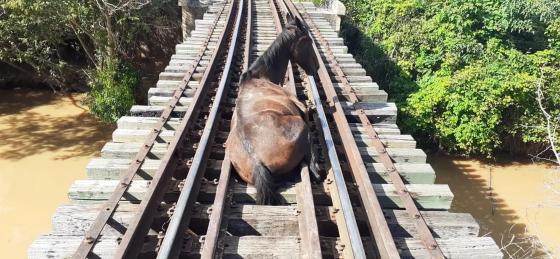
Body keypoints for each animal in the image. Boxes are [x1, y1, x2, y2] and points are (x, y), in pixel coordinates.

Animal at [224, 13, 320, 205]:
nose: (317, 67)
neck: (259, 76)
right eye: (307, 41)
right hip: (298, 124)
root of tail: (257, 161)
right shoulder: (301, 108)